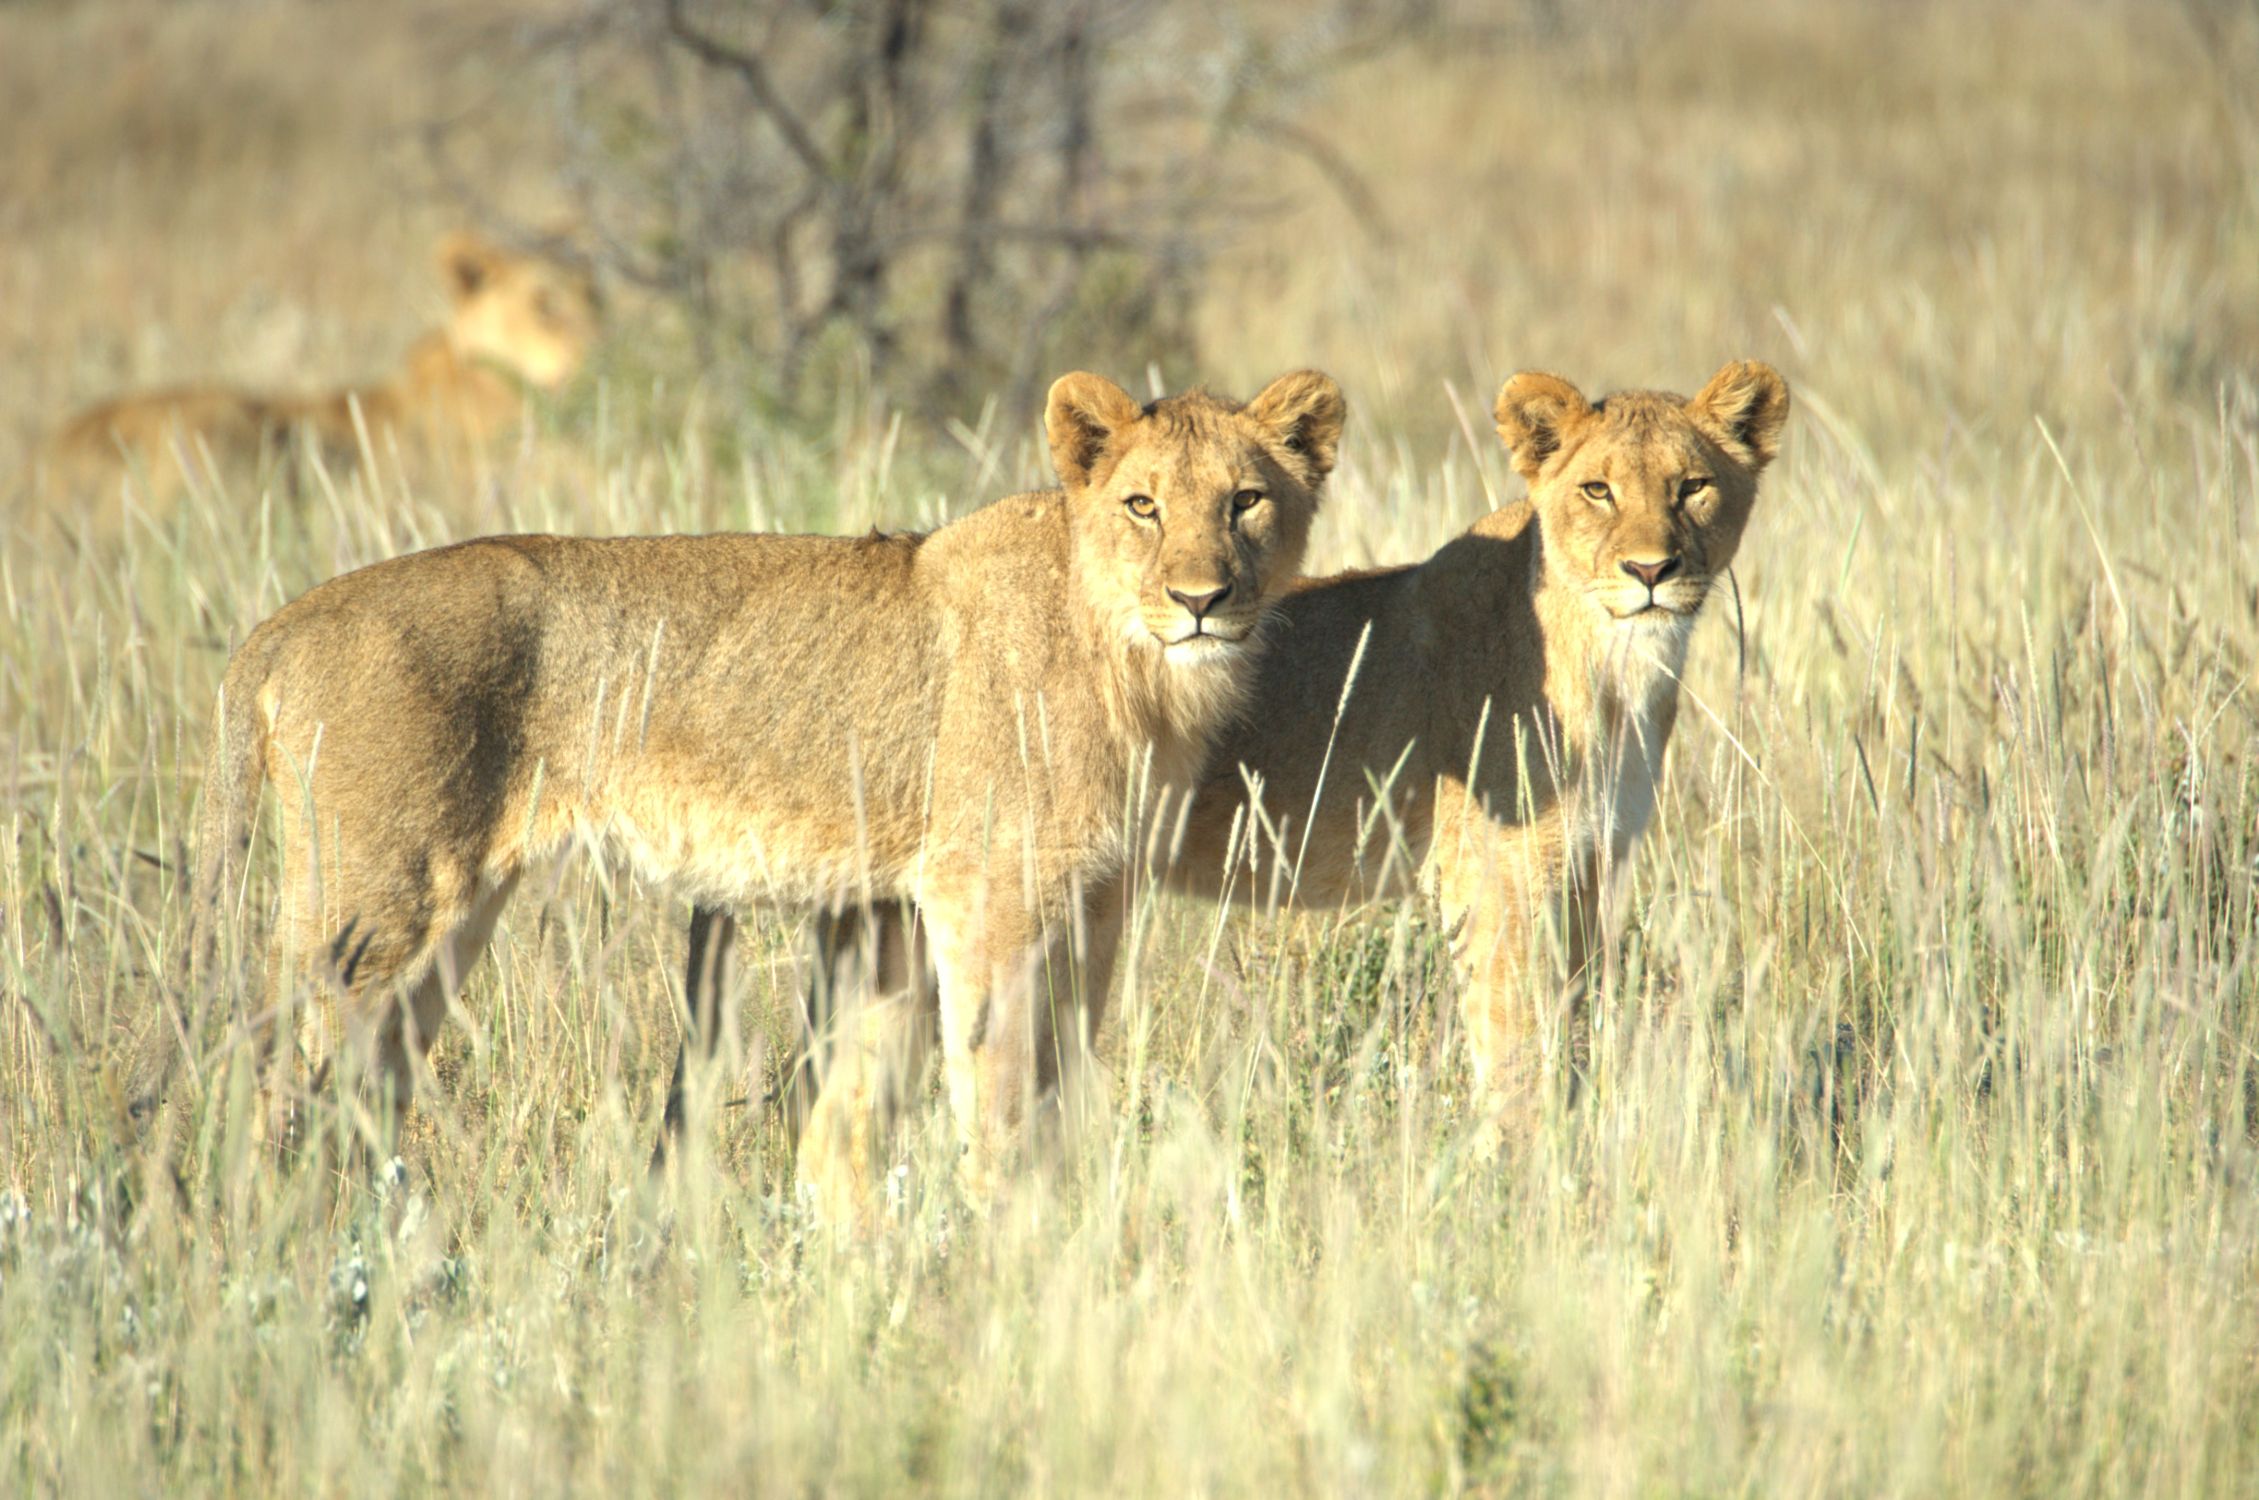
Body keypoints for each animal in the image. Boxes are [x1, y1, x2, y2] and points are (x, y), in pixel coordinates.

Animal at [160, 369, 1346, 1200]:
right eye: (1143, 505)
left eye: (1246, 501)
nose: (1202, 600)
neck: (1138, 665)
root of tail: (287, 620)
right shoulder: (984, 891)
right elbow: (998, 1089)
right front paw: (1003, 1240)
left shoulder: (1096, 898)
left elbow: (1058, 1077)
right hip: (372, 903)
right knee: (268, 1087)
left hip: (439, 924)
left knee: (366, 1090)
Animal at [773, 361, 1788, 1167]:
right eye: (1599, 491)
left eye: (1693, 486)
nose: (1650, 573)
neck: (1619, 667)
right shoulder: (1493, 877)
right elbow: (1515, 1050)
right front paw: (1528, 1185)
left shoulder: (1583, 871)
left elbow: (1566, 1035)